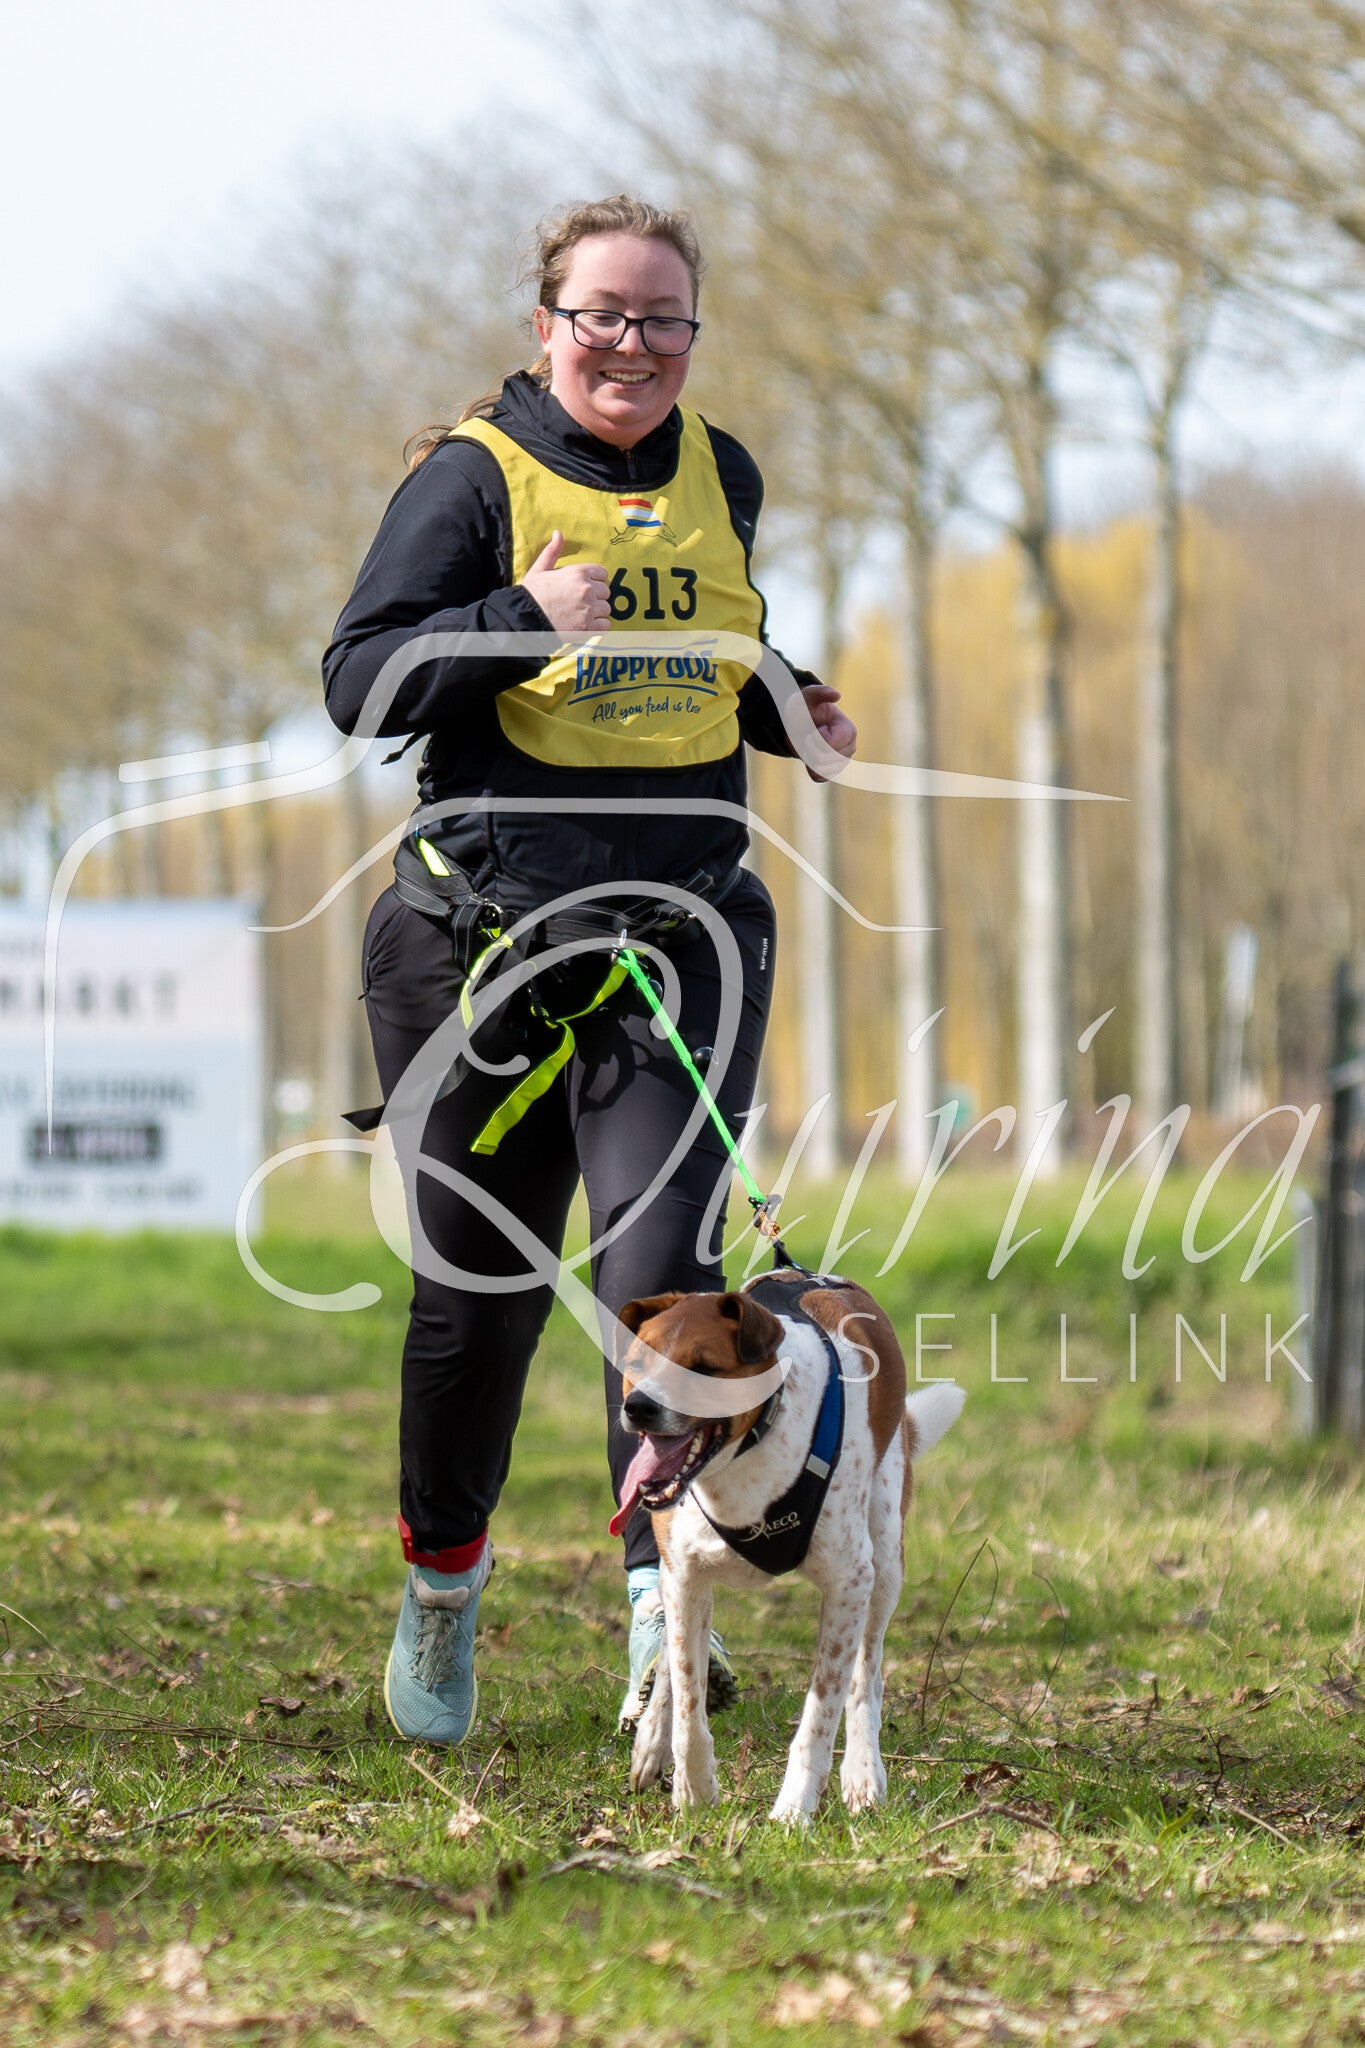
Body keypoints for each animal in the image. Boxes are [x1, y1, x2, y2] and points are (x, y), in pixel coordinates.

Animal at [612, 1268, 964, 1825]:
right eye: (637, 1366)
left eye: (704, 1369)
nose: (639, 1407)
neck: (748, 1452)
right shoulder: (686, 1575)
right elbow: (688, 1694)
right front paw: (695, 1793)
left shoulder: (849, 1582)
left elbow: (822, 1712)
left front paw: (794, 1811)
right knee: (672, 1656)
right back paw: (652, 1738)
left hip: (885, 1560)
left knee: (867, 1676)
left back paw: (864, 1773)